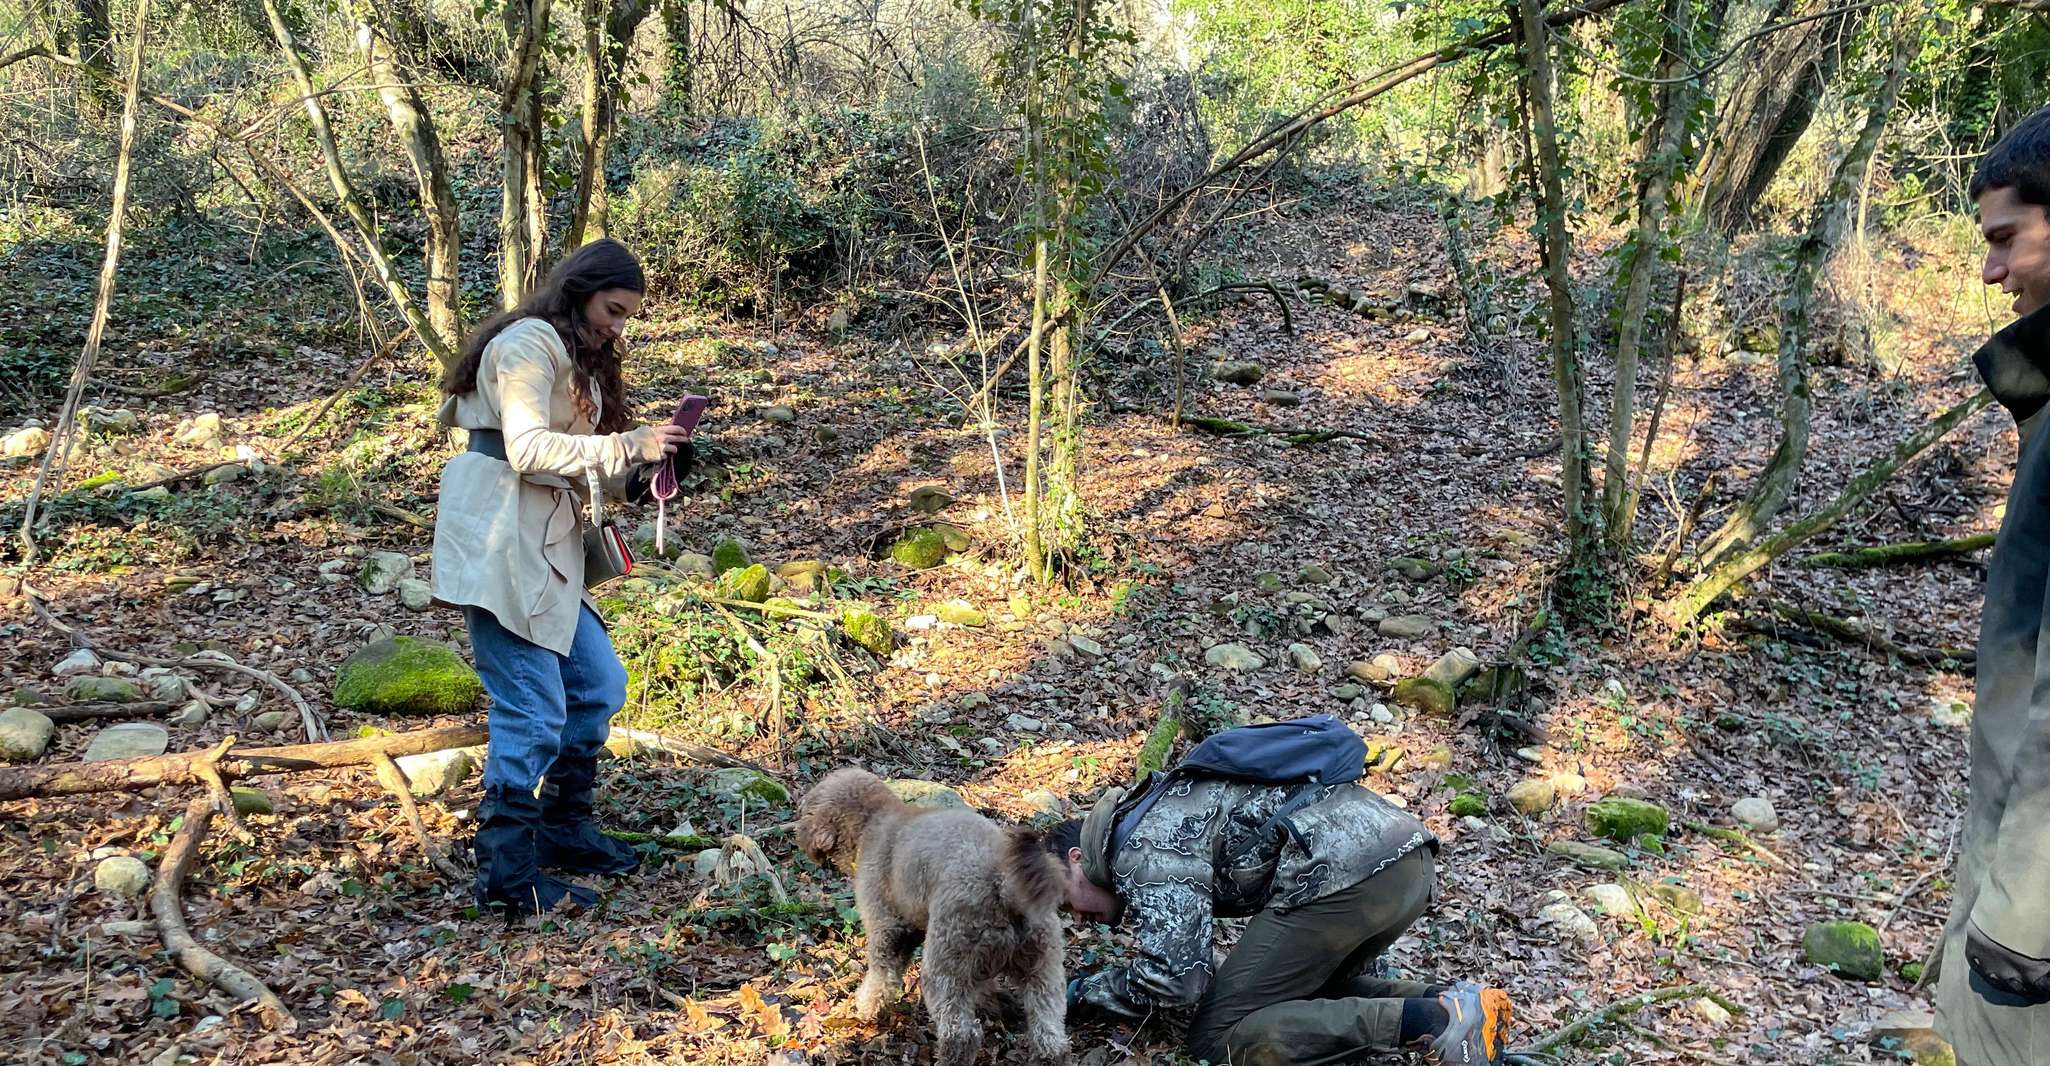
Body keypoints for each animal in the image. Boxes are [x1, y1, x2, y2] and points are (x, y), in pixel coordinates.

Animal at [791, 770, 1066, 1057]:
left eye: (805, 811)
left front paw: (864, 1010)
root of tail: (1003, 884)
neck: (875, 819)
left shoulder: (887, 928)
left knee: (961, 1033)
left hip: (945, 962)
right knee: (1049, 1035)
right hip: (1043, 968)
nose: (797, 832)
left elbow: (881, 978)